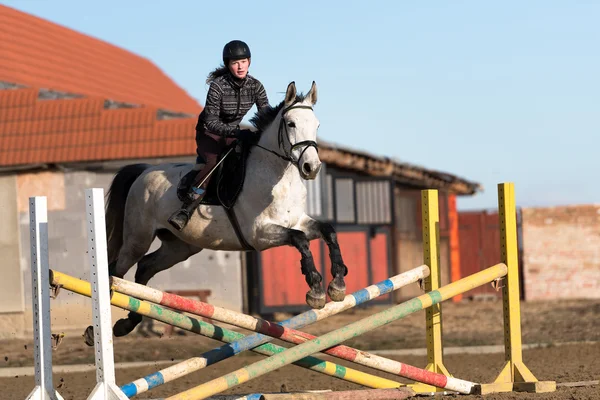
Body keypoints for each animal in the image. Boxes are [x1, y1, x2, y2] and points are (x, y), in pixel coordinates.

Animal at [101, 81, 350, 338]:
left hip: (179, 246)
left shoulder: (297, 221)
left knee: (145, 268)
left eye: (317, 125)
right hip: (137, 238)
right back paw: (101, 327)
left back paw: (126, 323)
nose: (312, 167)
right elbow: (300, 240)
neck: (279, 177)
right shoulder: (259, 234)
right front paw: (315, 288)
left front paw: (337, 284)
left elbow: (328, 231)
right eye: (291, 124)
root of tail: (143, 171)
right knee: (117, 270)